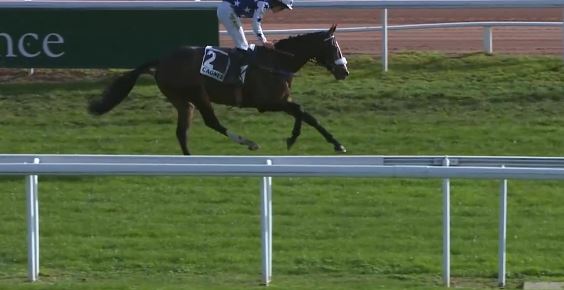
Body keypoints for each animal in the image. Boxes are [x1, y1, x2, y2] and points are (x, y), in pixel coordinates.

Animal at [89, 24, 348, 155]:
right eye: (334, 47)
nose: (344, 71)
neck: (277, 62)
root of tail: (161, 60)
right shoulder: (269, 103)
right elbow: (304, 113)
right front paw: (300, 139)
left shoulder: (280, 101)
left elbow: (305, 115)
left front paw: (328, 142)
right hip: (197, 94)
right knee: (211, 122)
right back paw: (248, 142)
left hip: (182, 100)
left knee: (182, 131)